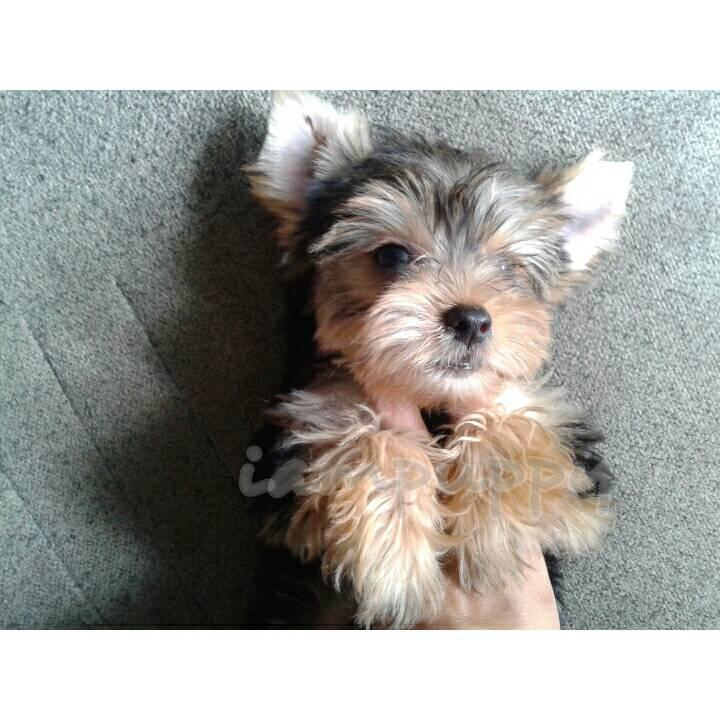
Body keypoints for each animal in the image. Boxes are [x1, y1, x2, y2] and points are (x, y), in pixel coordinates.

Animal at [245, 91, 633, 628]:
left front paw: (491, 539)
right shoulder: (300, 432)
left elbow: (510, 426)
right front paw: (396, 564)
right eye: (390, 256)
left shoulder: (563, 446)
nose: (470, 319)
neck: (432, 398)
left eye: (508, 269)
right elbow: (371, 440)